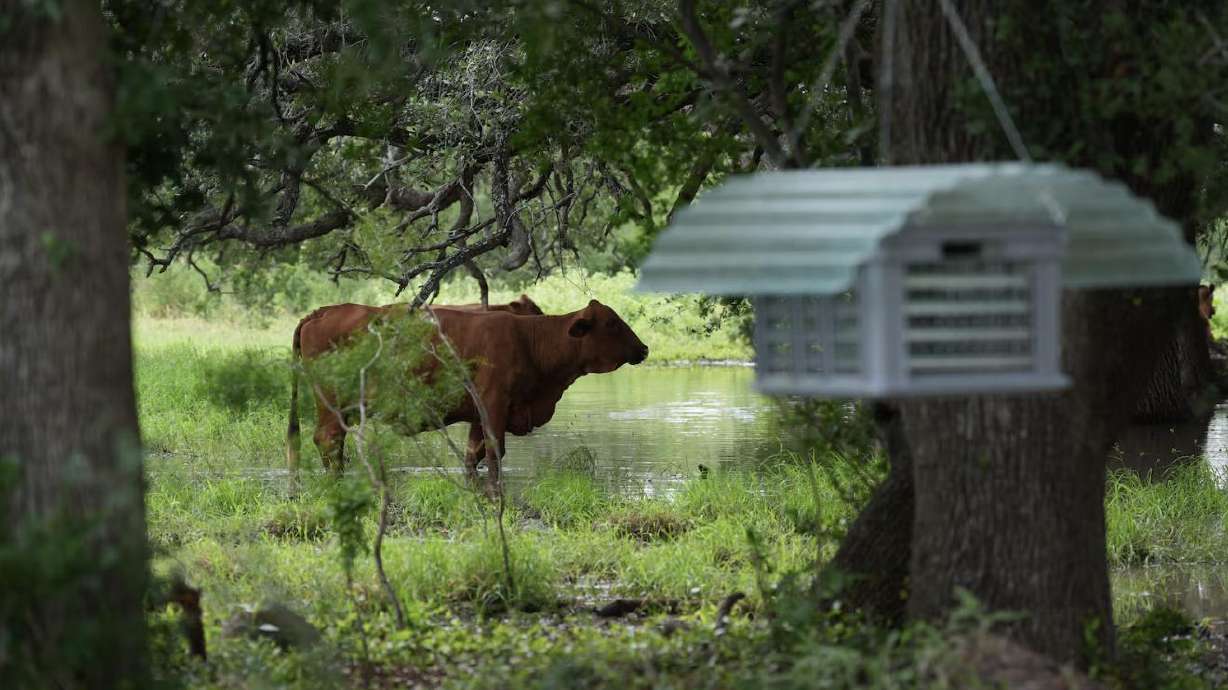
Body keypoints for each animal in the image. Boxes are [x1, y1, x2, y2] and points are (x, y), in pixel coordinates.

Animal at [285, 299, 648, 494]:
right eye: (612, 324)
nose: (644, 348)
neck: (529, 340)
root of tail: (322, 311)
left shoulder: (478, 413)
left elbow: (474, 455)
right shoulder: (494, 405)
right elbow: (495, 452)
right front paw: (495, 491)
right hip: (332, 404)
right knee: (328, 439)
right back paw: (337, 482)